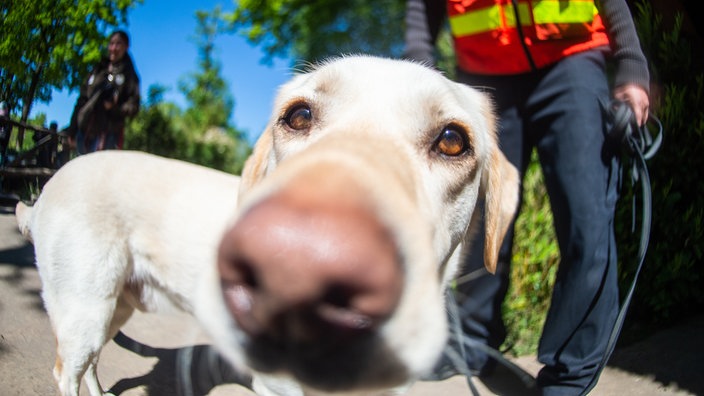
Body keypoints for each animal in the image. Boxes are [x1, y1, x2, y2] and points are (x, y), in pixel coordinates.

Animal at [16, 55, 520, 396]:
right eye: (298, 116)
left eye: (452, 140)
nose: (296, 267)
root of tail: (53, 181)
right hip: (86, 306)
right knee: (67, 370)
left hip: (113, 307)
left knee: (89, 367)